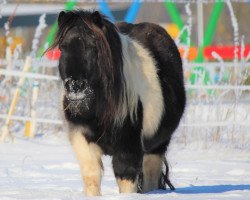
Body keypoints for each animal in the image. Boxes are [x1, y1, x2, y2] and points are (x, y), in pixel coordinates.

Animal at [48, 10, 186, 196]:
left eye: (93, 46)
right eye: (63, 47)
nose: (75, 86)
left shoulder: (128, 145)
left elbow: (125, 177)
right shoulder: (83, 139)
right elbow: (91, 175)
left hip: (157, 146)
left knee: (150, 177)